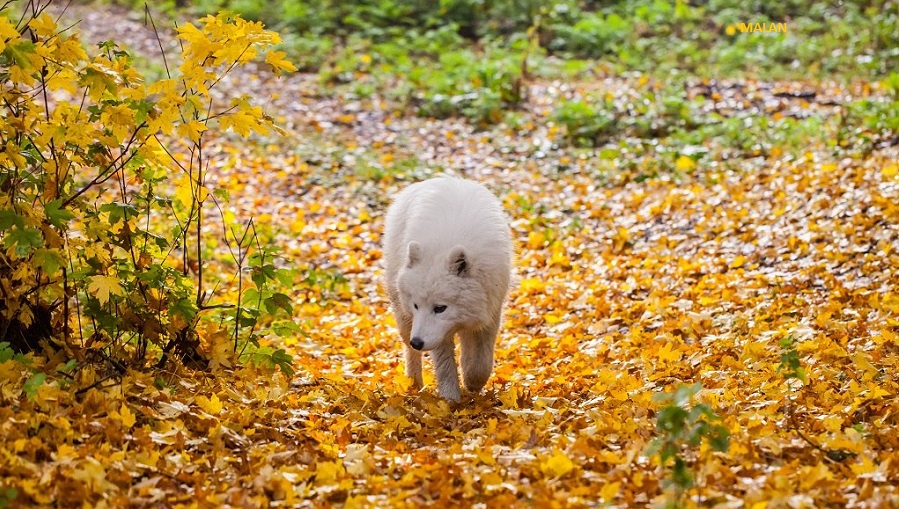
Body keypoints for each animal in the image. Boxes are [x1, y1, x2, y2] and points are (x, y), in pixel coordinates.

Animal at [384, 176, 512, 400]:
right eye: (416, 305)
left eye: (440, 308)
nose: (417, 342)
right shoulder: (436, 332)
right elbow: (444, 364)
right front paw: (450, 399)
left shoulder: (490, 313)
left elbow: (480, 363)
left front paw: (472, 383)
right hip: (403, 316)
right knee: (410, 351)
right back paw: (413, 383)